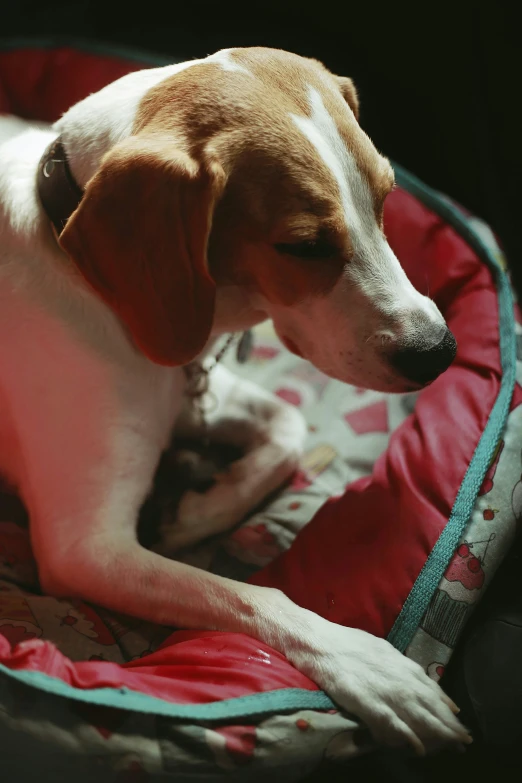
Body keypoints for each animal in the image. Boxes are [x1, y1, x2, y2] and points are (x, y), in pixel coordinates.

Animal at [0, 47, 464, 752]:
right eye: (303, 246)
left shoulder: (199, 391)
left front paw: (197, 512)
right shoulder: (86, 549)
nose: (438, 351)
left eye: (386, 199)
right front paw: (368, 666)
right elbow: (254, 597)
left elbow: (289, 427)